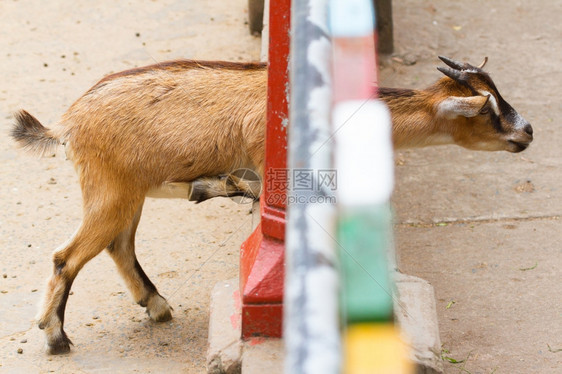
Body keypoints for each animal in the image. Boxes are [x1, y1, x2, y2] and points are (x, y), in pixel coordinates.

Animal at [10, 55, 532, 354]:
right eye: (488, 108)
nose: (526, 131)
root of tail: (66, 123)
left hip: (126, 192)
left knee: (119, 246)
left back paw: (157, 304)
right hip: (110, 189)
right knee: (67, 257)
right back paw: (56, 338)